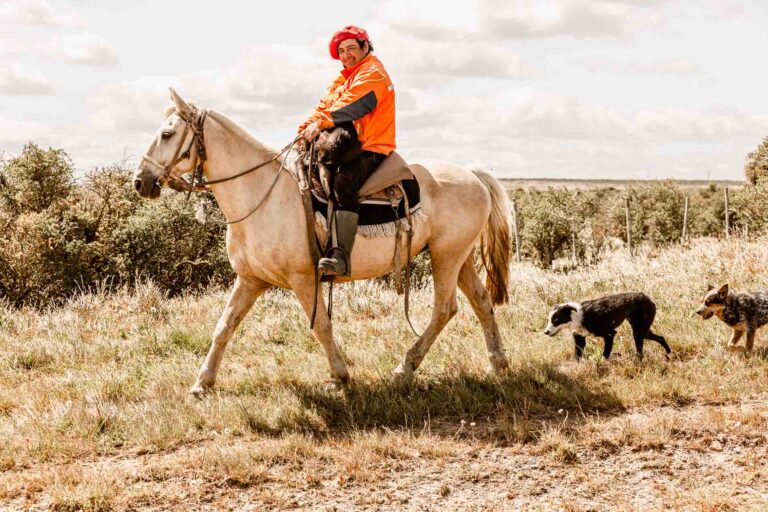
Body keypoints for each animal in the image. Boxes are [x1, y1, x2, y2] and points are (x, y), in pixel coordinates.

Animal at [135, 89, 512, 396]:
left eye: (167, 134)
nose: (140, 181)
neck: (262, 193)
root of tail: (472, 173)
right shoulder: (250, 280)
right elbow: (223, 327)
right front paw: (202, 382)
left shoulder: (304, 280)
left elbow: (321, 327)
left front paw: (341, 376)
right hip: (458, 257)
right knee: (481, 302)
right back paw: (498, 363)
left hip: (446, 257)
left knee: (444, 309)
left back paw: (405, 367)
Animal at [540, 292, 672, 360]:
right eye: (549, 320)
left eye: (556, 320)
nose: (545, 332)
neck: (578, 317)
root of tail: (648, 298)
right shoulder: (579, 339)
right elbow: (578, 356)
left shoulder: (610, 334)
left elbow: (605, 354)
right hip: (643, 330)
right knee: (661, 338)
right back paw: (669, 353)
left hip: (638, 332)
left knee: (640, 352)